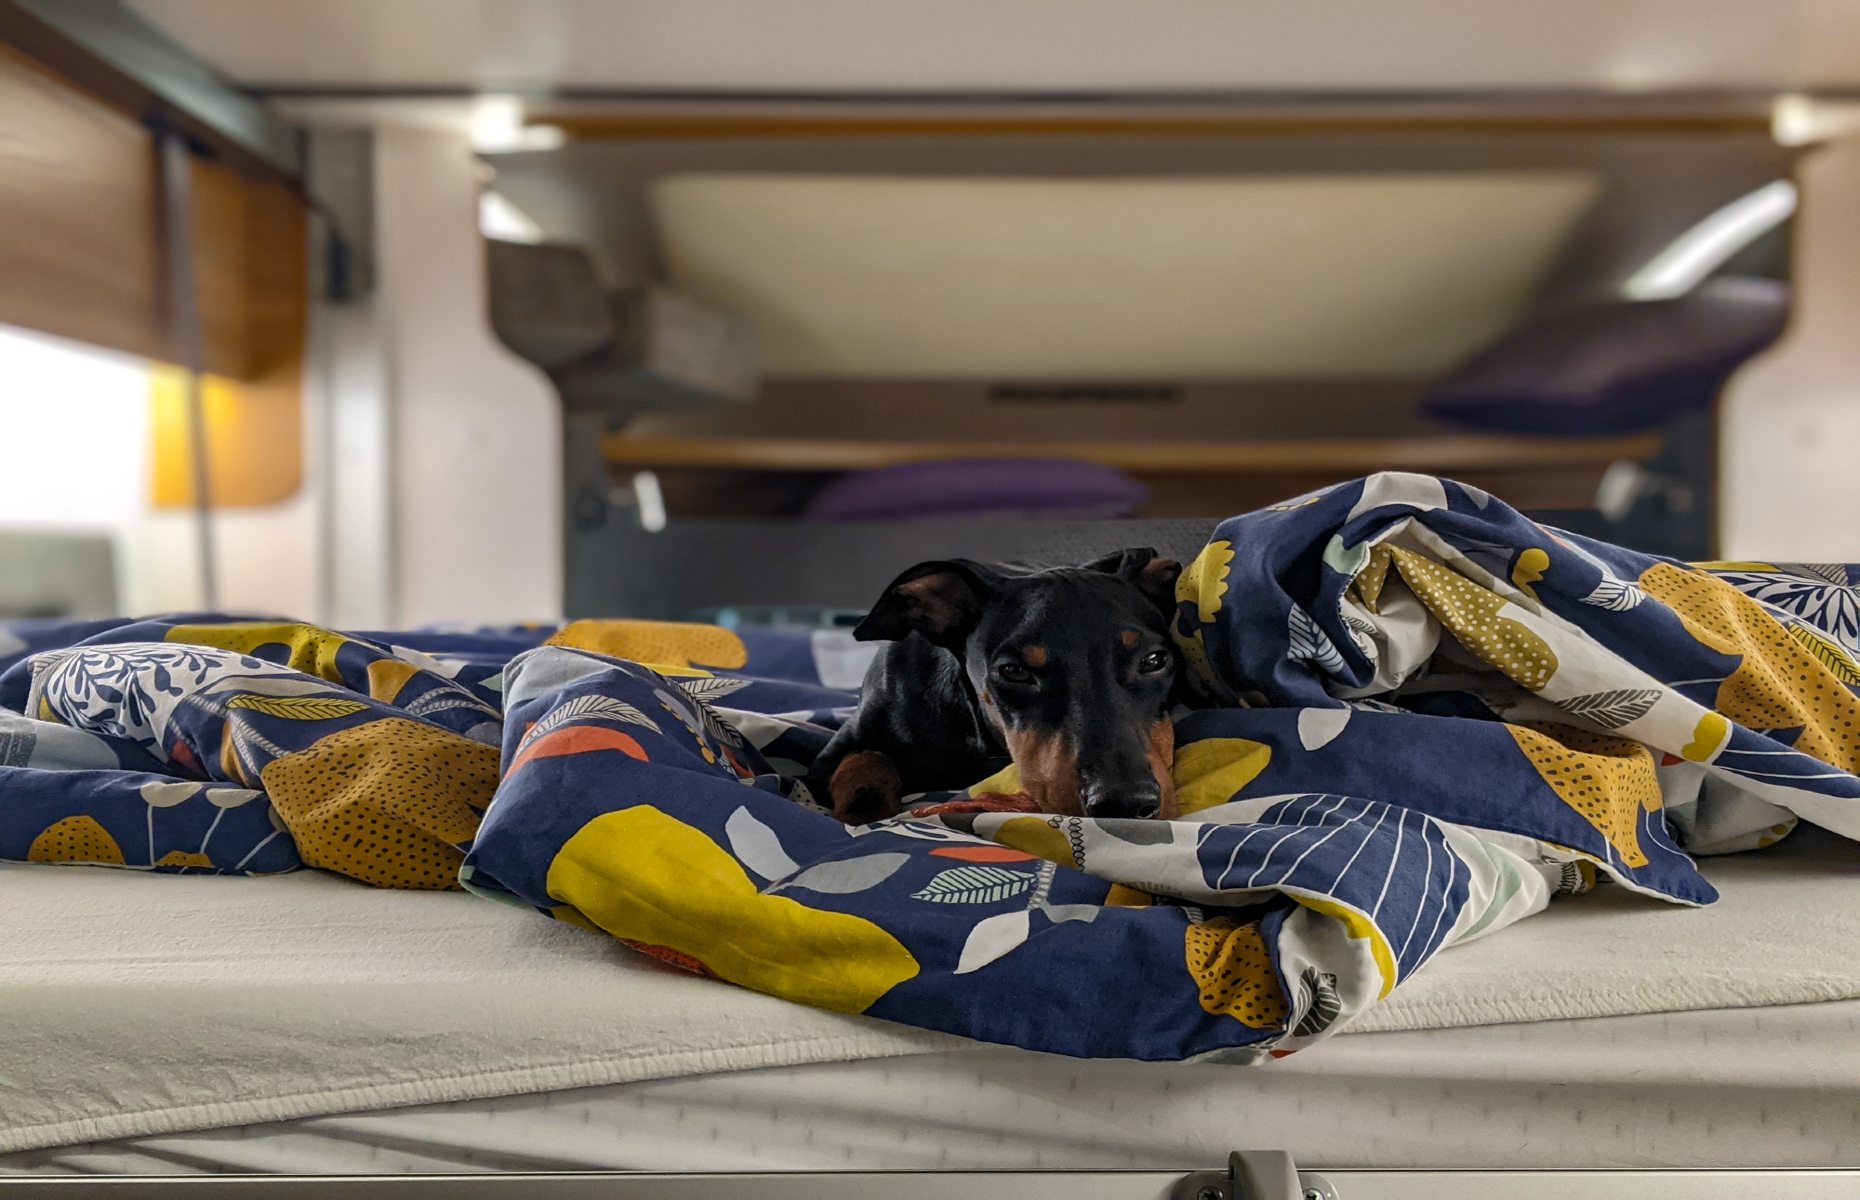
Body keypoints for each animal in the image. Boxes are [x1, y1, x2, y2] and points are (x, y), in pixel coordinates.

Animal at [810, 550, 1182, 822]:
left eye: (1154, 660)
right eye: (1013, 671)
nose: (1123, 804)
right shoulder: (830, 757)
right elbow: (866, 760)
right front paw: (863, 811)